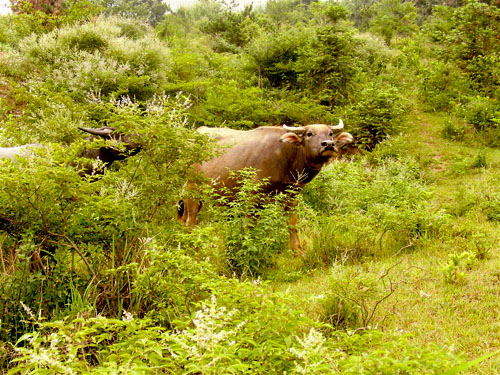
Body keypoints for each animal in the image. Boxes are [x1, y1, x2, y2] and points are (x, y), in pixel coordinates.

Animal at [178, 120, 354, 256]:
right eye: (309, 133)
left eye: (330, 133)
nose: (328, 145)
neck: (287, 157)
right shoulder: (253, 194)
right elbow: (250, 224)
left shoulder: (292, 195)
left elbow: (292, 222)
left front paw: (297, 250)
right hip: (193, 188)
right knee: (190, 219)